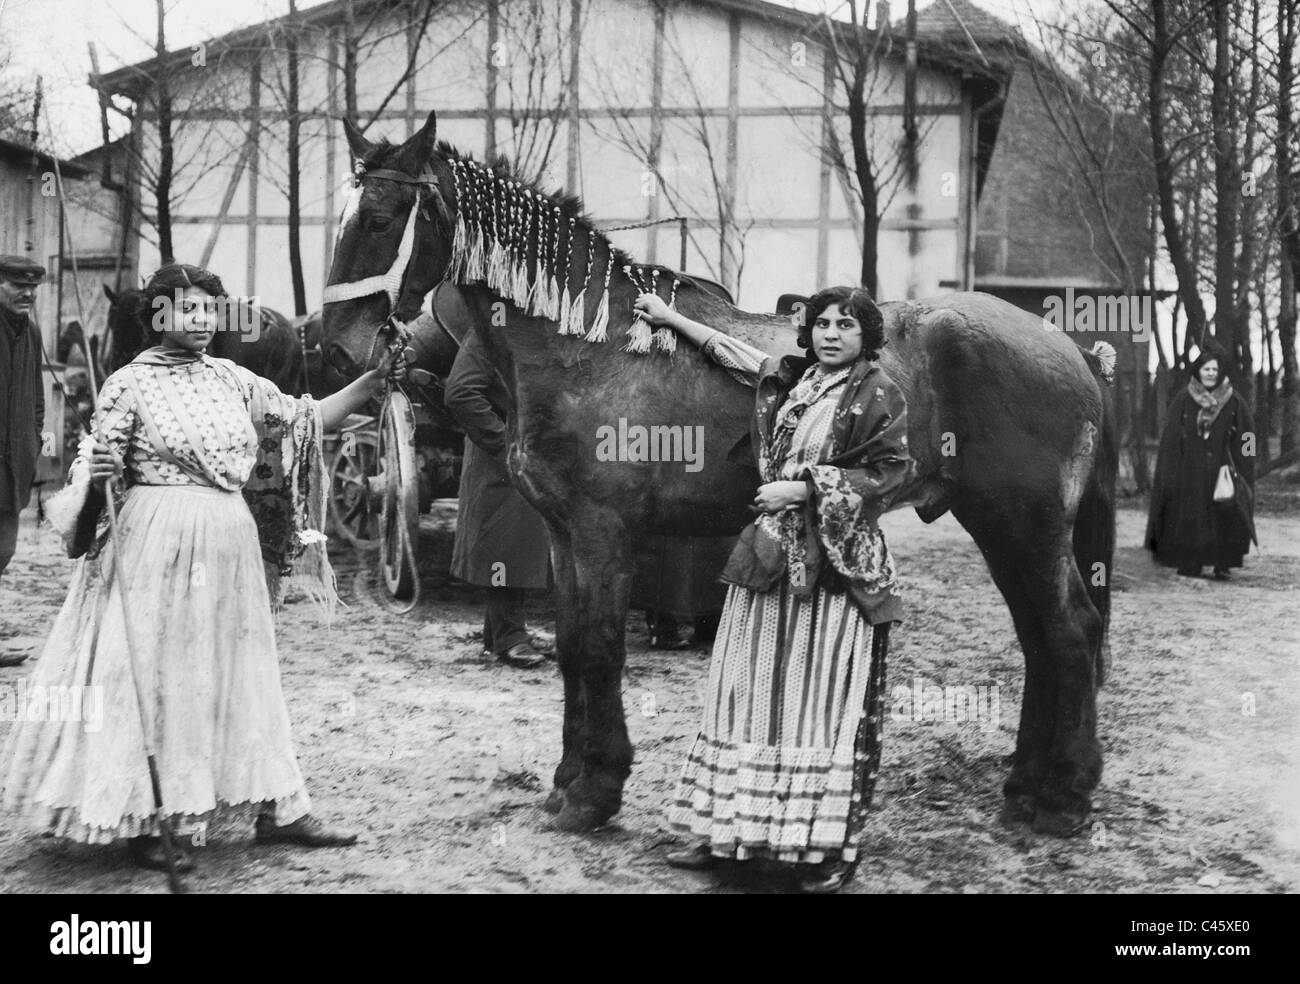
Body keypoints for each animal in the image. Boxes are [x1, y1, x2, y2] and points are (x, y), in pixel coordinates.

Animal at [320, 110, 1118, 838]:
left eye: (383, 217)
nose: (339, 345)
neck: (589, 345)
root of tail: (1070, 348)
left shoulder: (602, 533)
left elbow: (598, 647)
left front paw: (594, 793)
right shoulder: (562, 533)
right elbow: (573, 648)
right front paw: (569, 783)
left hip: (1023, 525)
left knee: (1069, 631)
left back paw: (1063, 797)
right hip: (1005, 529)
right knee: (1041, 636)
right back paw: (1026, 786)